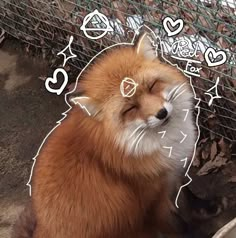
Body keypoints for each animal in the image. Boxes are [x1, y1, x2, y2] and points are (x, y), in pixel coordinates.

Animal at [14, 32, 199, 238]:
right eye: (130, 109)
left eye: (152, 86)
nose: (162, 113)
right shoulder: (153, 204)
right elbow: (177, 227)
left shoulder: (174, 173)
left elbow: (190, 199)